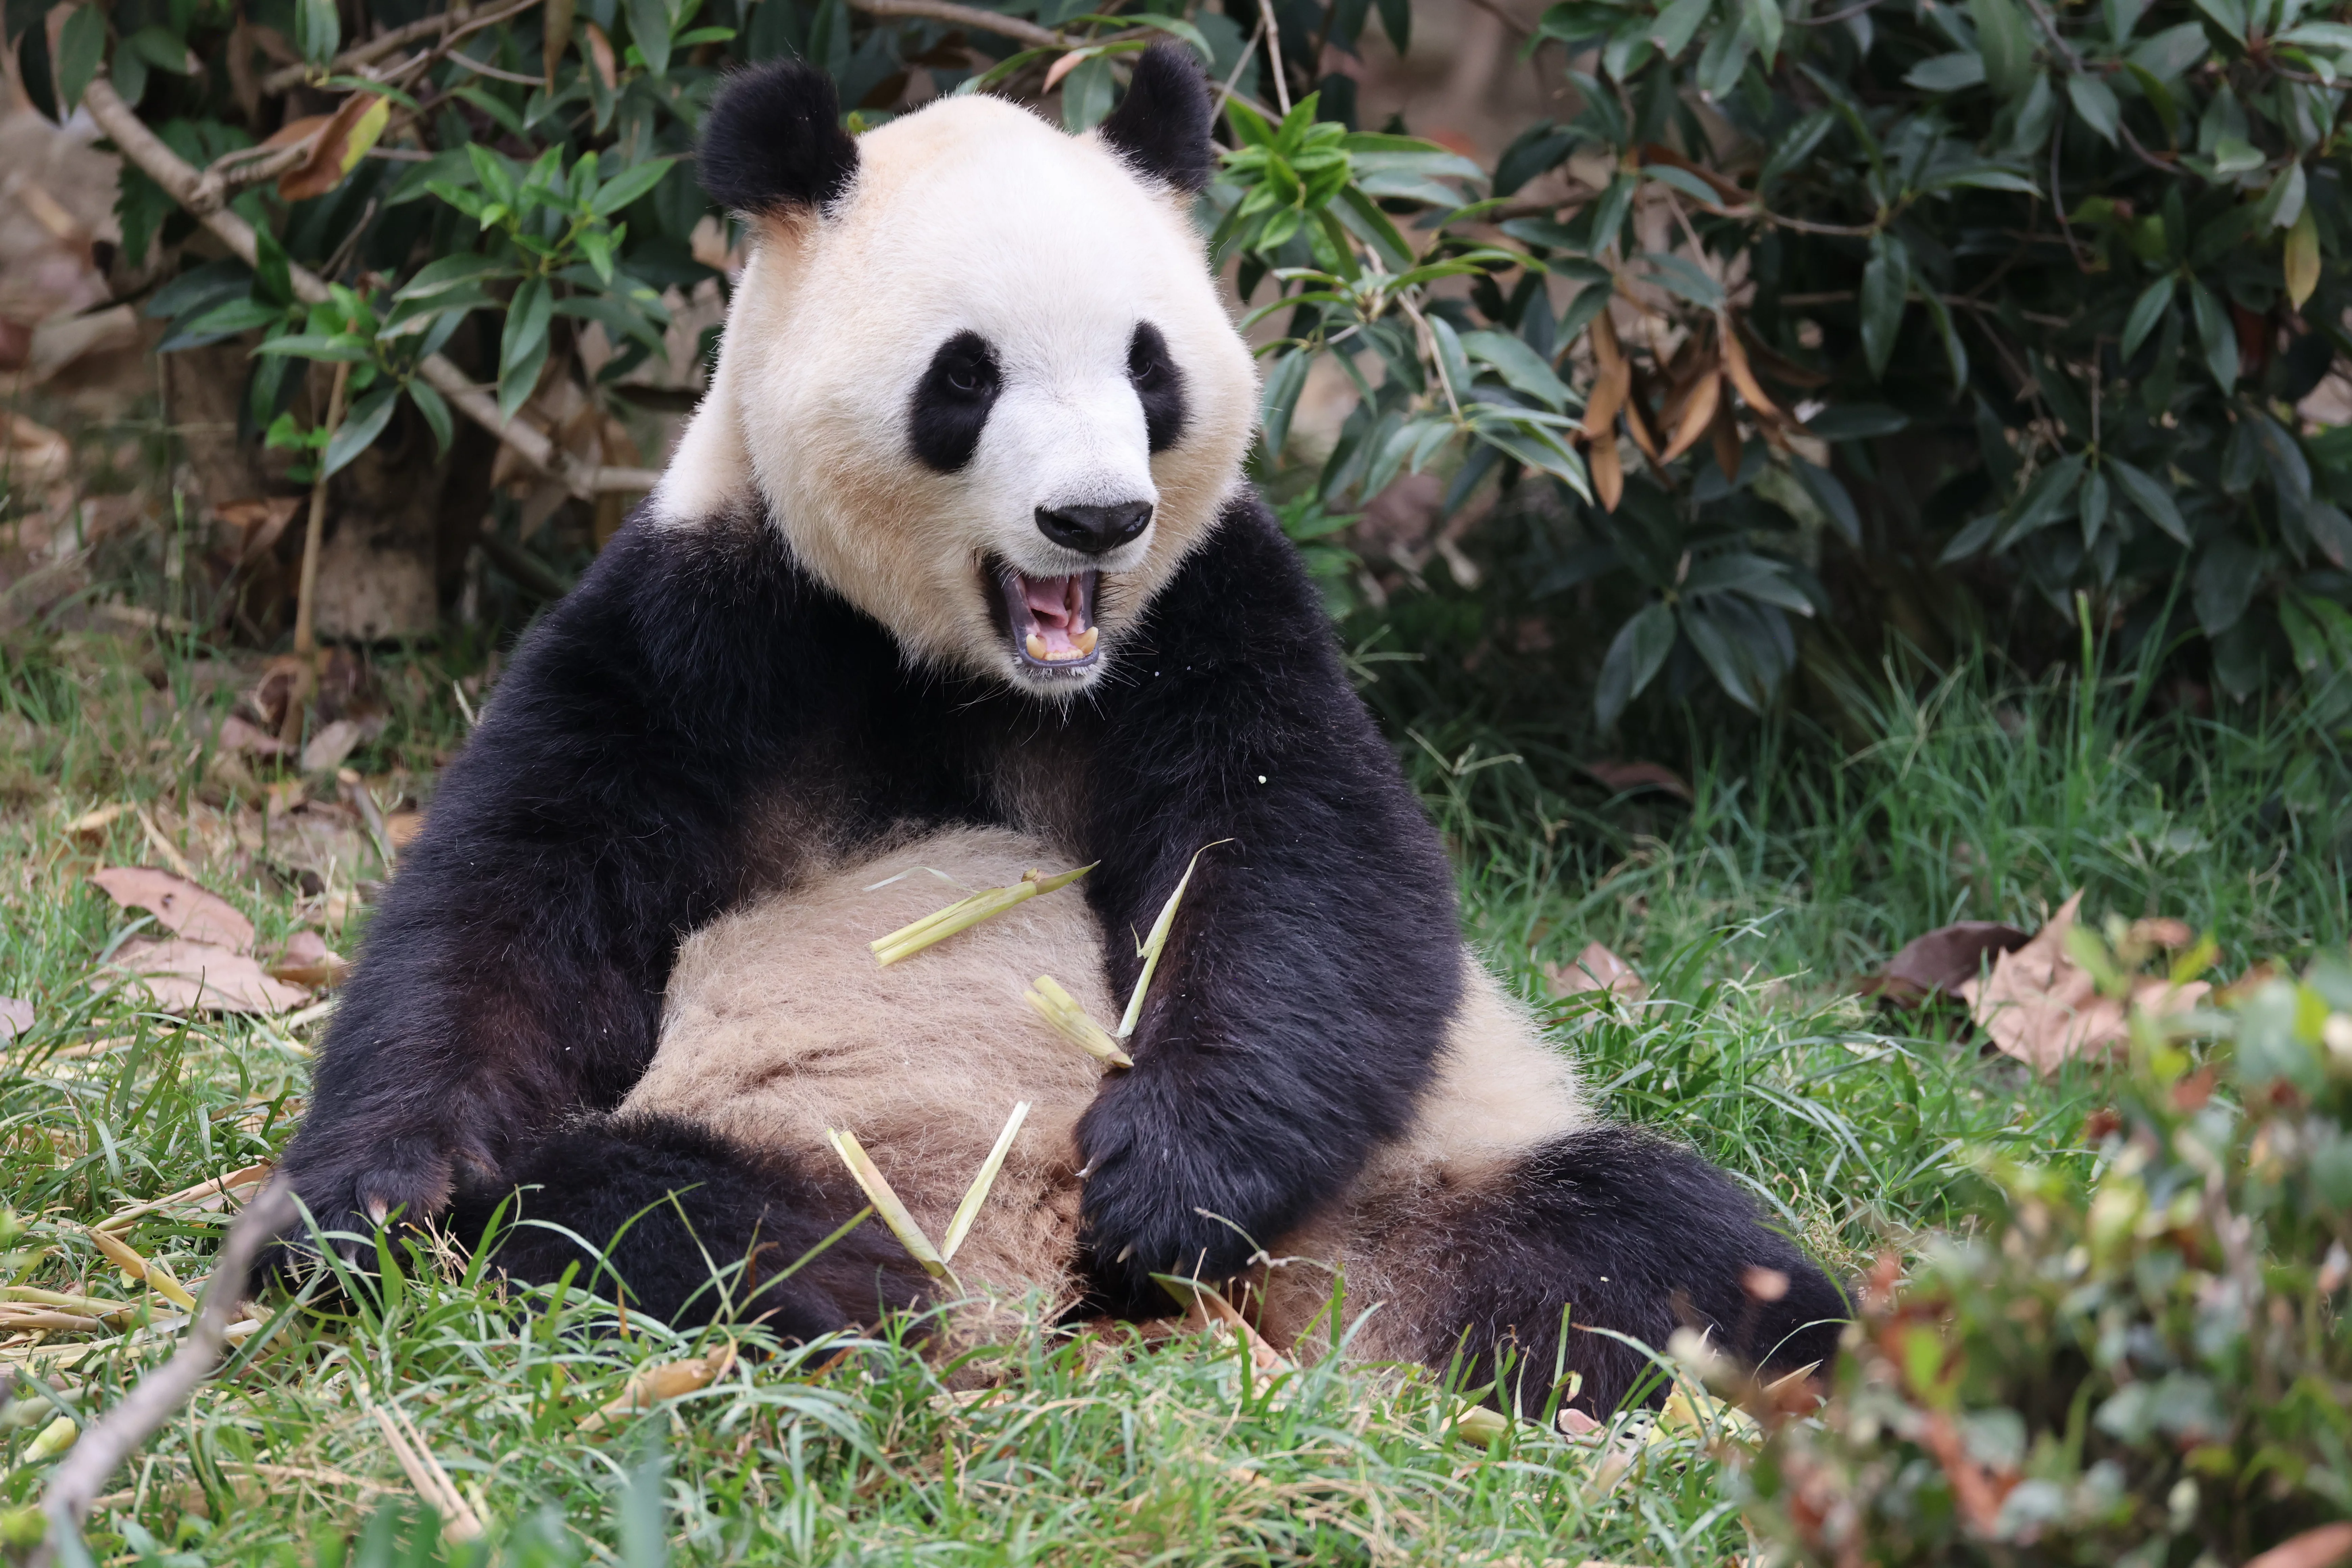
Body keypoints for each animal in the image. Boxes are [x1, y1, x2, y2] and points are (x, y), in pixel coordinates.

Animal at [274, 44, 1844, 1415]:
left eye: (1149, 365)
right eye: (965, 375)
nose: (1096, 517)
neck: (973, 668)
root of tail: (1037, 1275)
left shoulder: (1209, 613)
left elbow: (1300, 868)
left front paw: (1169, 1180)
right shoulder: (709, 620)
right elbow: (519, 900)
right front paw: (362, 1200)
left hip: (1418, 1165)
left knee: (1637, 1242)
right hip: (826, 1134)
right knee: (641, 1218)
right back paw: (818, 1320)